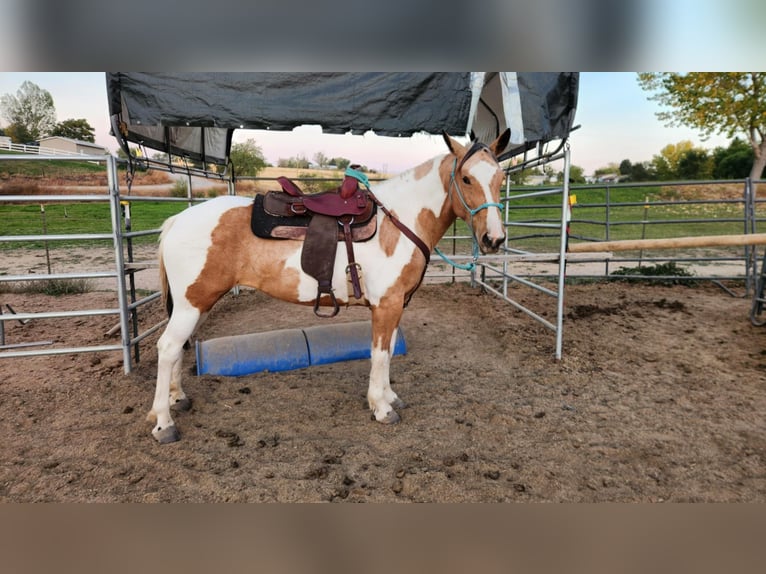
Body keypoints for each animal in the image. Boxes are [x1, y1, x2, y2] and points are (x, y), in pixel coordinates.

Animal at [148, 129, 512, 446]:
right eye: (466, 179)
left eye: (500, 178)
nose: (494, 239)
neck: (400, 221)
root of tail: (178, 220)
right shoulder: (387, 305)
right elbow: (380, 354)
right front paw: (381, 407)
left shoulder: (396, 306)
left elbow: (389, 351)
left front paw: (390, 397)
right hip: (193, 303)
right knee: (167, 348)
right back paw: (164, 423)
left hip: (197, 304)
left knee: (179, 348)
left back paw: (178, 398)